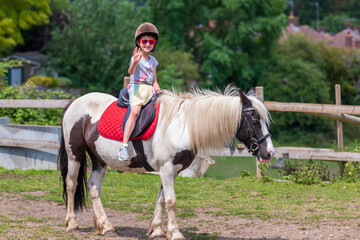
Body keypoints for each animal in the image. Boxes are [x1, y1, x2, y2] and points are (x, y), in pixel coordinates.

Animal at [59, 86, 274, 240]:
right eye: (254, 119)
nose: (269, 153)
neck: (183, 126)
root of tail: (74, 102)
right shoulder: (167, 169)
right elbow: (171, 201)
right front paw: (175, 233)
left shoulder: (172, 170)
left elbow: (162, 199)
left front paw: (156, 230)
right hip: (75, 155)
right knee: (71, 184)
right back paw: (71, 224)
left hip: (99, 160)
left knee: (94, 188)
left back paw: (106, 226)